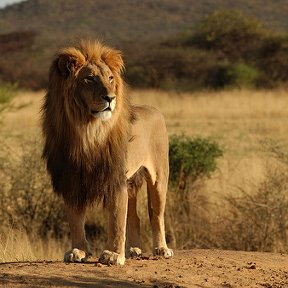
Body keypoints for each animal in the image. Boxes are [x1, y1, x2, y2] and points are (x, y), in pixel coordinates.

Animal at [41, 40, 173, 266]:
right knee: (135, 216)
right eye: (90, 78)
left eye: (110, 78)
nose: (110, 98)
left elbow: (116, 219)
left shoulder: (114, 178)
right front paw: (78, 251)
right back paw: (134, 249)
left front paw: (113, 254)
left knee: (156, 214)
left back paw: (161, 249)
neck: (87, 131)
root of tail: (154, 109)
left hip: (159, 176)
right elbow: (75, 219)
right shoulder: (71, 178)